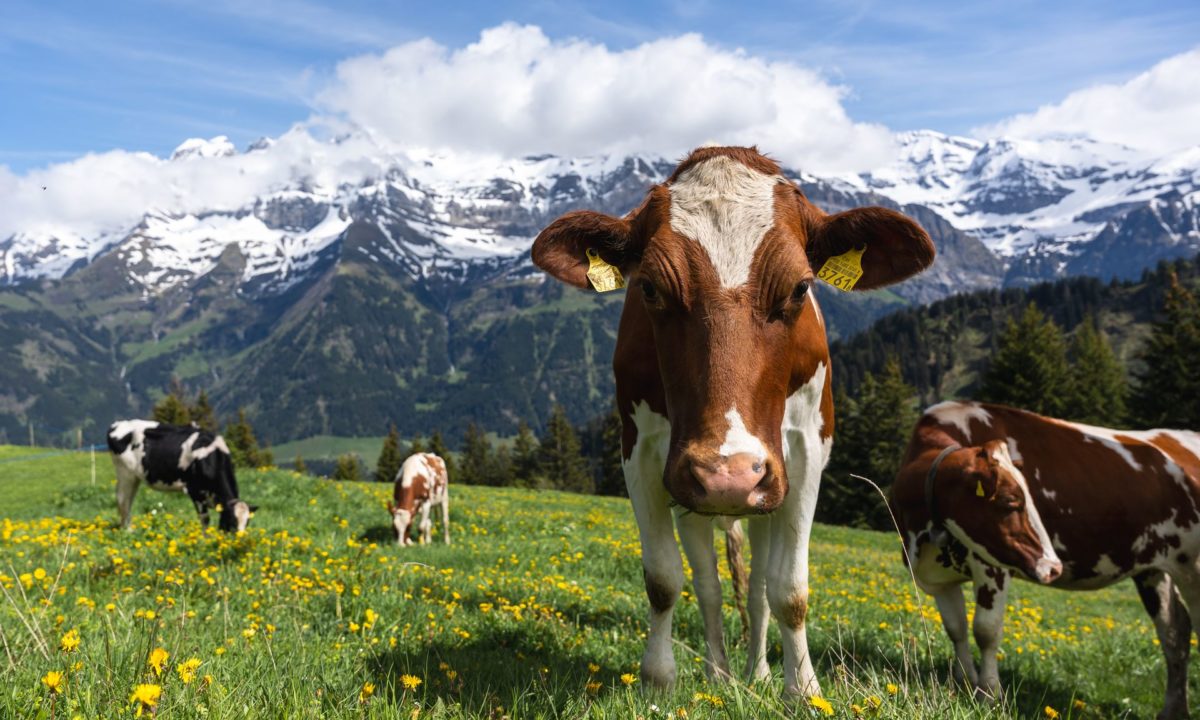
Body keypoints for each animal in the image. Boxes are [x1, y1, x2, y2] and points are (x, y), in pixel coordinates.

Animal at [107, 420, 256, 533]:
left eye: (247, 522)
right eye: (232, 521)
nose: (239, 540)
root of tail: (118, 424)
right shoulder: (195, 490)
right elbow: (205, 519)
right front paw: (206, 539)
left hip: (135, 478)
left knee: (129, 500)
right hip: (125, 473)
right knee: (123, 501)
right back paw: (127, 531)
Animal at [531, 145, 934, 697]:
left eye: (800, 287)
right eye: (650, 289)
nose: (729, 476)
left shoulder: (806, 453)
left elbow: (789, 589)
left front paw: (802, 689)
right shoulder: (641, 451)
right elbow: (664, 579)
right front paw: (658, 679)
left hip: (765, 494)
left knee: (760, 585)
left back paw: (757, 672)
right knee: (709, 584)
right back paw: (719, 672)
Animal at [893, 401, 1200, 719]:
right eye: (1011, 502)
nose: (1053, 567)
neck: (924, 534)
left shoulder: (992, 566)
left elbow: (985, 630)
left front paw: (989, 695)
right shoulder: (939, 577)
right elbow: (956, 629)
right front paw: (964, 683)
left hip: (1193, 566)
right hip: (1155, 569)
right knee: (1175, 631)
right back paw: (1174, 710)